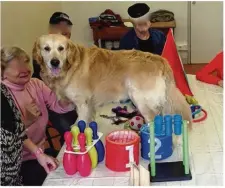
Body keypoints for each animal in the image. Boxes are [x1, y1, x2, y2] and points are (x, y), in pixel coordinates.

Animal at [32, 33, 192, 128]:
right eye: (46, 48)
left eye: (61, 48)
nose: (54, 62)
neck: (71, 65)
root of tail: (160, 60)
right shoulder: (87, 105)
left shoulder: (82, 103)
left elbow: (80, 122)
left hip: (138, 97)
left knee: (153, 119)